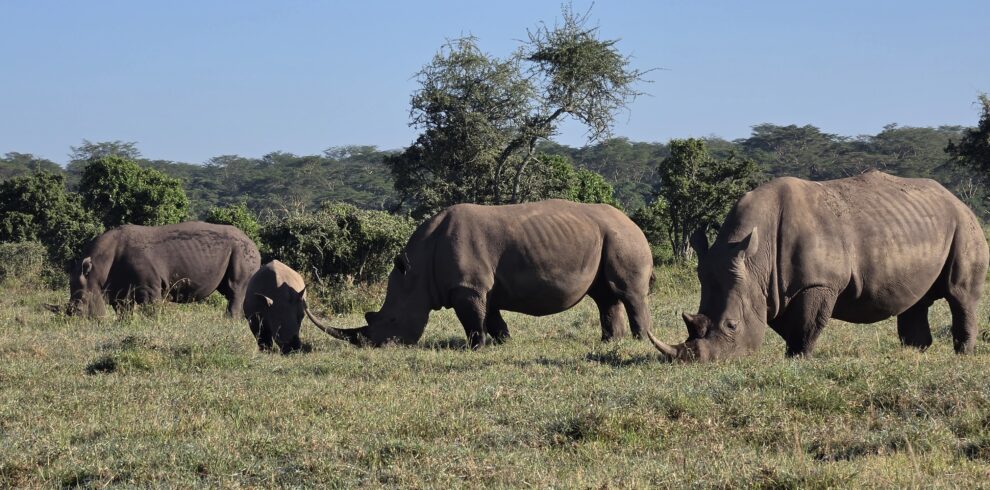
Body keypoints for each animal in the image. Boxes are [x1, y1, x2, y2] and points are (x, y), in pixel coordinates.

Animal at [68, 221, 261, 317]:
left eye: (80, 307)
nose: (73, 320)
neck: (98, 268)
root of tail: (253, 242)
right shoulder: (118, 287)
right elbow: (124, 311)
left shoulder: (149, 286)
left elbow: (151, 309)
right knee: (228, 289)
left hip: (242, 251)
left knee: (236, 288)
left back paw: (229, 321)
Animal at [319, 200, 655, 349]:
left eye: (390, 320)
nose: (375, 346)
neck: (417, 270)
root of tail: (633, 222)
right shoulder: (480, 287)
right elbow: (492, 318)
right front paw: (504, 343)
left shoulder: (467, 286)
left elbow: (472, 320)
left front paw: (475, 347)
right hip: (607, 236)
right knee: (604, 295)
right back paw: (610, 342)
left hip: (623, 238)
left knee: (628, 293)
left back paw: (638, 341)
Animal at [648, 170, 989, 362]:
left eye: (731, 326)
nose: (697, 363)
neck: (756, 262)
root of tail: (956, 198)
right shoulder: (773, 289)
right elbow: (786, 323)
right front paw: (791, 354)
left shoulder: (817, 282)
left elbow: (806, 324)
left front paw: (798, 359)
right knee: (915, 300)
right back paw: (915, 353)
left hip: (965, 225)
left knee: (960, 294)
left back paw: (963, 355)